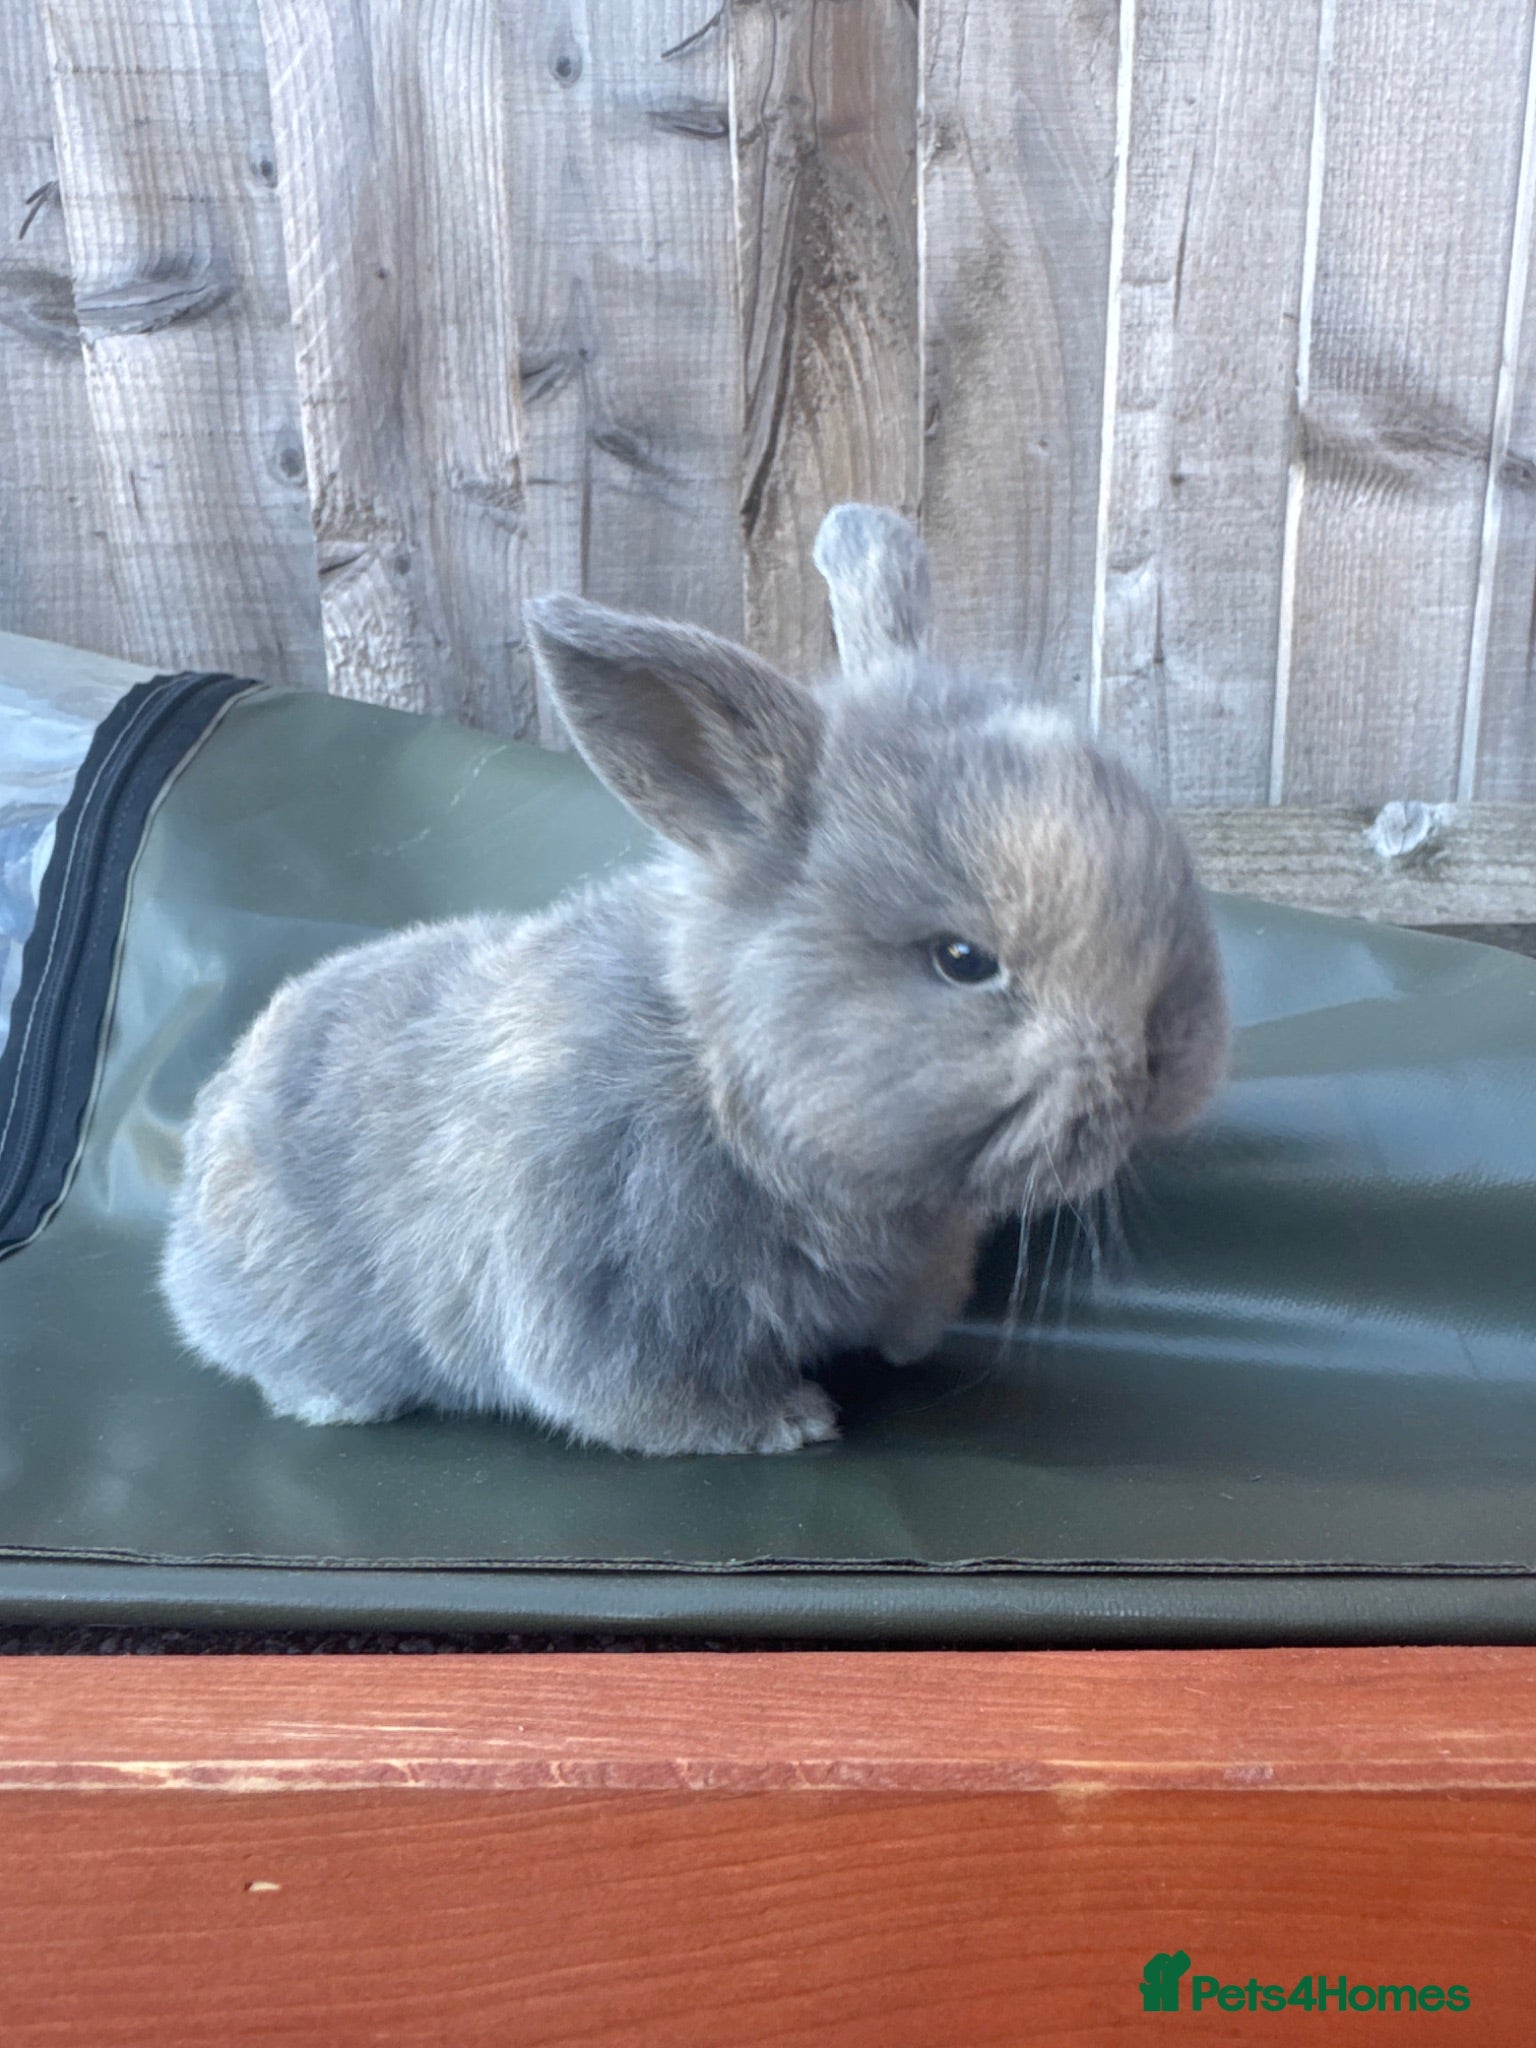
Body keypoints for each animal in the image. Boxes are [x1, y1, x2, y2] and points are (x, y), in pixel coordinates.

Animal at [160, 505, 1229, 1455]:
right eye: (964, 961)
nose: (1170, 1061)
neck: (725, 1083)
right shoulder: (600, 1283)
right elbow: (641, 1397)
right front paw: (788, 1424)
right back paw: (338, 1401)